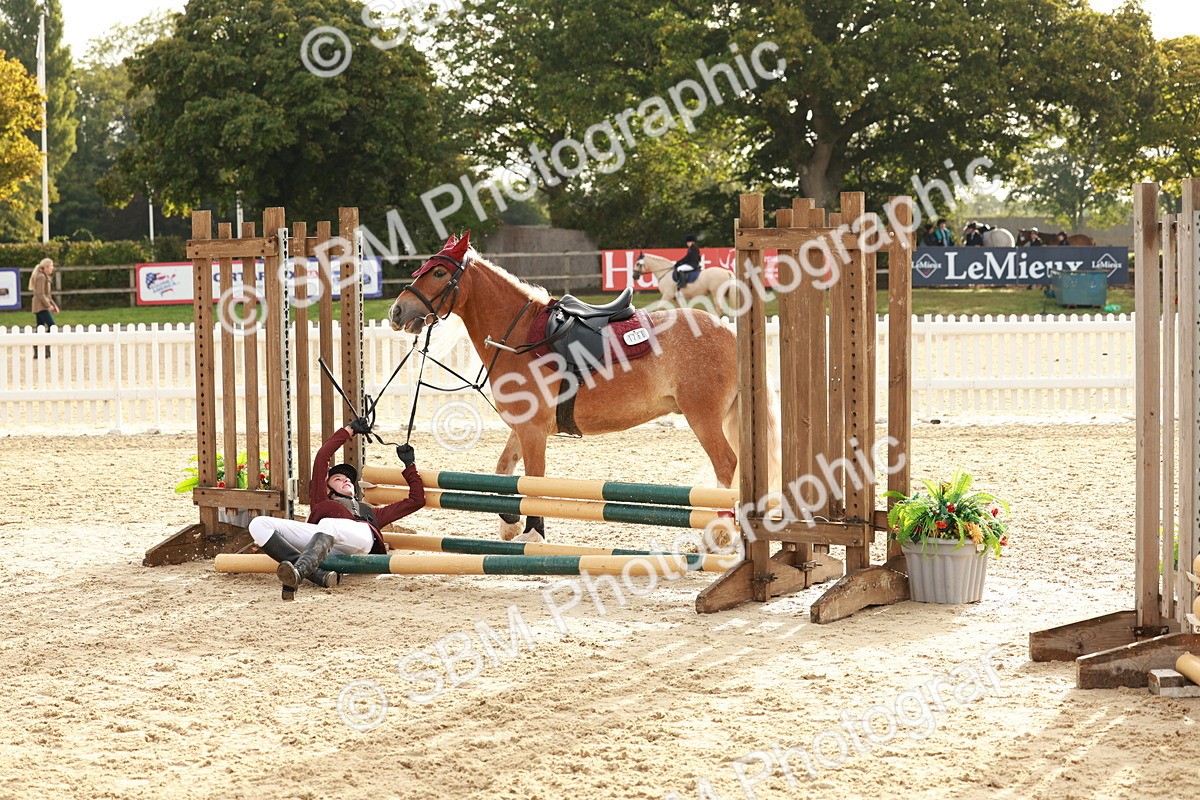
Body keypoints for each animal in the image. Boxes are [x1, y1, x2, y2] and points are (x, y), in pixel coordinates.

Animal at [388, 232, 779, 543]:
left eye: (439, 272)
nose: (397, 311)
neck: (520, 336)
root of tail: (729, 331)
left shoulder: (533, 431)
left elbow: (534, 480)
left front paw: (532, 532)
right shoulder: (522, 428)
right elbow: (504, 470)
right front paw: (508, 524)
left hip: (703, 417)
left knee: (726, 464)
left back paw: (719, 534)